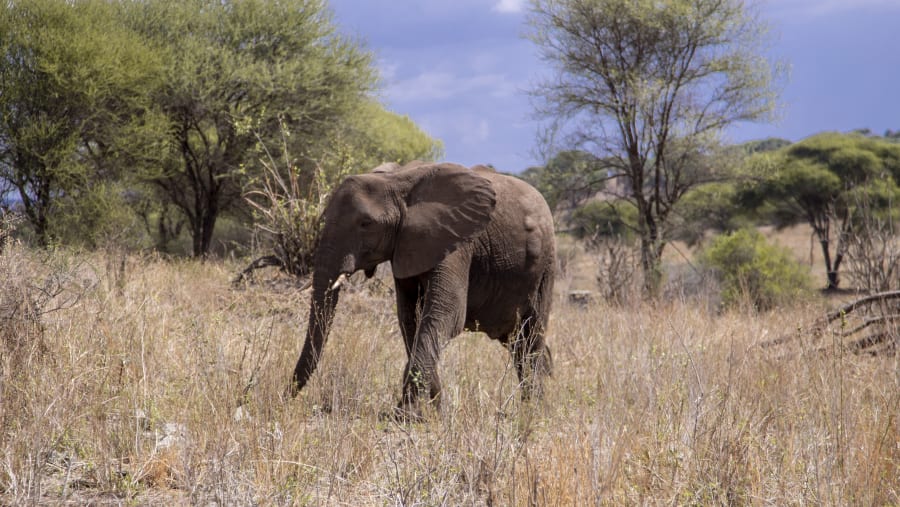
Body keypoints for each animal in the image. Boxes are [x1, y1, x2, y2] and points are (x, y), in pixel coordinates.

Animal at [289, 161, 556, 417]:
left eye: (366, 224)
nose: (286, 396)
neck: (397, 182)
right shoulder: (405, 245)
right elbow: (410, 319)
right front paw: (434, 411)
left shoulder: (455, 241)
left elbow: (446, 315)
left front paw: (407, 415)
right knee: (518, 343)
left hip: (546, 266)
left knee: (530, 338)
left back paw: (533, 412)